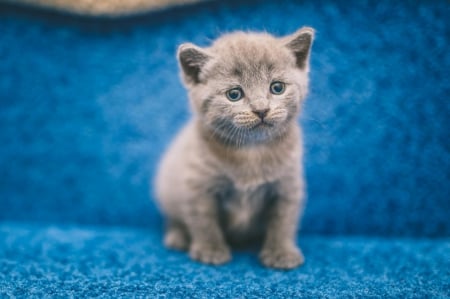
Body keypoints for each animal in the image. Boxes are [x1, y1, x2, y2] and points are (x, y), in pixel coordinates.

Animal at [156, 27, 314, 270]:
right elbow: (203, 220)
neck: (252, 151)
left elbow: (283, 221)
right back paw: (178, 237)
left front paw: (281, 252)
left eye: (277, 87)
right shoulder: (198, 185)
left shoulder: (288, 185)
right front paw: (210, 251)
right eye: (234, 94)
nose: (261, 109)